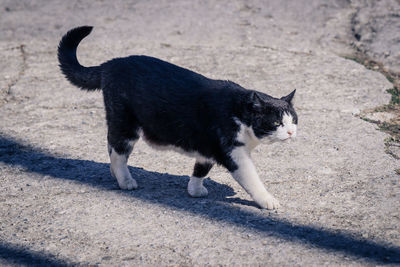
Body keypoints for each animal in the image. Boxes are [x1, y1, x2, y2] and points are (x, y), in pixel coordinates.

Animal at [57, 26, 298, 210]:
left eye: (294, 120)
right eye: (276, 122)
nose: (291, 132)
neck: (239, 114)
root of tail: (110, 63)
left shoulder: (208, 148)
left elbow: (201, 169)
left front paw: (195, 190)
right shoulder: (234, 154)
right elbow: (252, 179)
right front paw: (268, 200)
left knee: (112, 147)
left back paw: (115, 175)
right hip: (126, 124)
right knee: (118, 152)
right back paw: (125, 180)